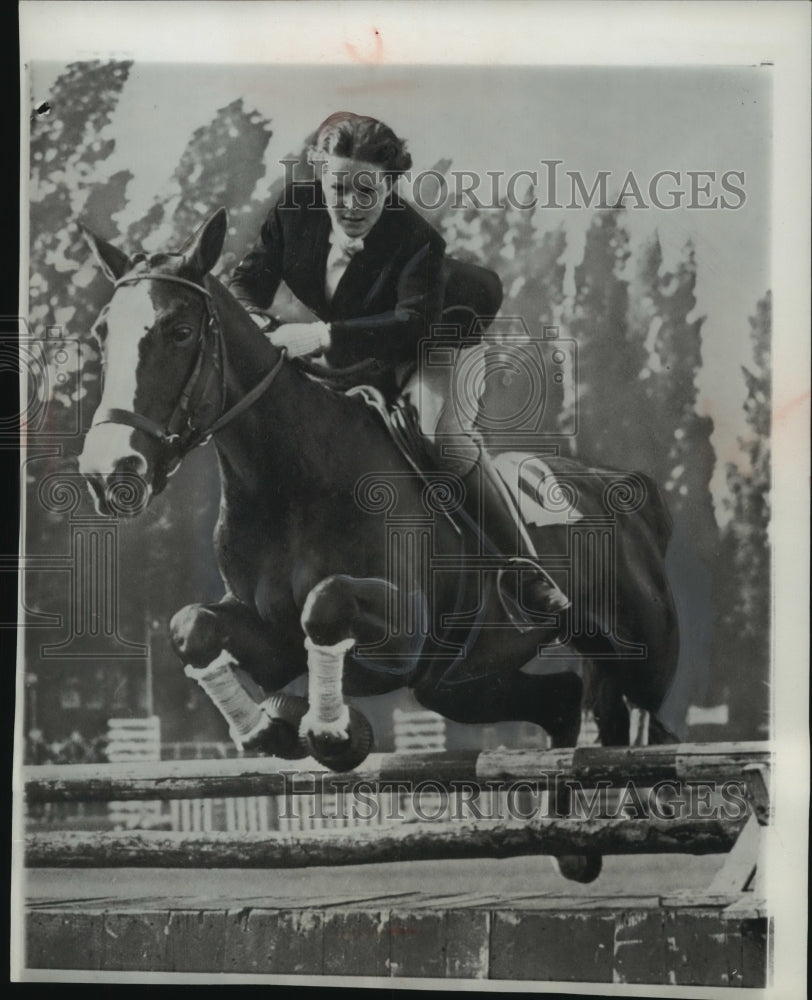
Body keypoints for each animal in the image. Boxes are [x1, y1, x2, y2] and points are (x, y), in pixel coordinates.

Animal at [77, 208, 679, 882]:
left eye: (180, 331)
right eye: (101, 334)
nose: (109, 471)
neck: (289, 475)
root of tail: (623, 486)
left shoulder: (403, 633)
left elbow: (326, 606)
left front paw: (329, 730)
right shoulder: (271, 639)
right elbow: (194, 626)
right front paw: (266, 730)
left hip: (640, 654)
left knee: (642, 721)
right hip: (458, 684)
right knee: (564, 701)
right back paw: (574, 843)